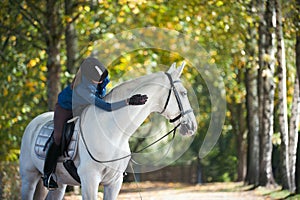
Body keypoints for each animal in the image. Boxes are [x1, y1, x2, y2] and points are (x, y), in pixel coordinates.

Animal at [19, 63, 197, 199]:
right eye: (184, 93)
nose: (192, 126)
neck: (113, 133)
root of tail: (35, 121)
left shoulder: (114, 183)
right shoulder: (90, 180)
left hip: (60, 183)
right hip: (29, 178)